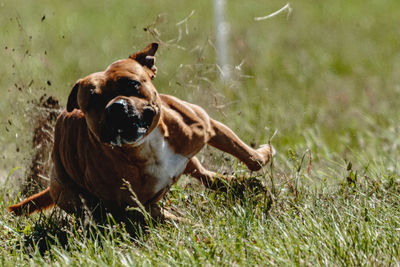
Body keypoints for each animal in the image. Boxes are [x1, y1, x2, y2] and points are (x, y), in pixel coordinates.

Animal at [7, 43, 274, 220]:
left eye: (132, 84)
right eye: (92, 100)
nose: (115, 107)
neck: (146, 145)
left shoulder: (206, 126)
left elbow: (252, 159)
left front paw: (264, 154)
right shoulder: (137, 205)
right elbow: (168, 218)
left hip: (189, 160)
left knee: (204, 174)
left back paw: (238, 185)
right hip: (70, 192)